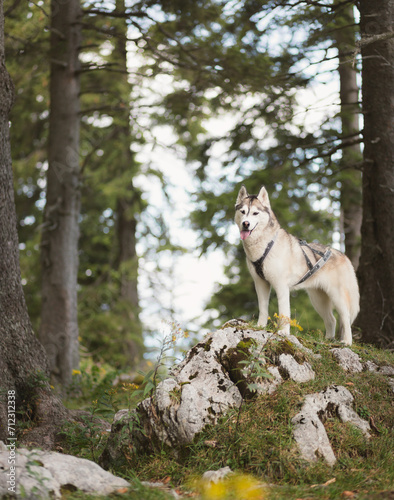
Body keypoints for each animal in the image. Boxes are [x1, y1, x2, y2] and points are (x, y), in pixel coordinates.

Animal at [234, 184, 360, 344]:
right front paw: (260, 327)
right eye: (243, 212)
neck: (265, 245)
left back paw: (347, 342)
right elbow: (263, 308)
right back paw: (326, 341)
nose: (246, 224)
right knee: (331, 320)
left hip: (337, 295)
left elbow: (284, 312)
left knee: (345, 318)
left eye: (255, 213)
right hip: (317, 299)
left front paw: (283, 332)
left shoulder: (281, 286)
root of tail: (343, 255)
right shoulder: (260, 284)